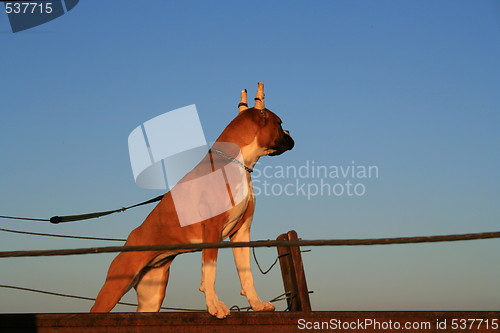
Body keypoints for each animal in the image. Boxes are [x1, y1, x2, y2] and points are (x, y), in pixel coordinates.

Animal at [90, 81, 292, 318]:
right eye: (280, 123)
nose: (290, 133)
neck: (236, 162)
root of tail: (132, 237)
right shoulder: (212, 229)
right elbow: (210, 273)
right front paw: (214, 305)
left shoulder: (241, 232)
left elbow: (246, 274)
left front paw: (257, 304)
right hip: (115, 285)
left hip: (151, 296)